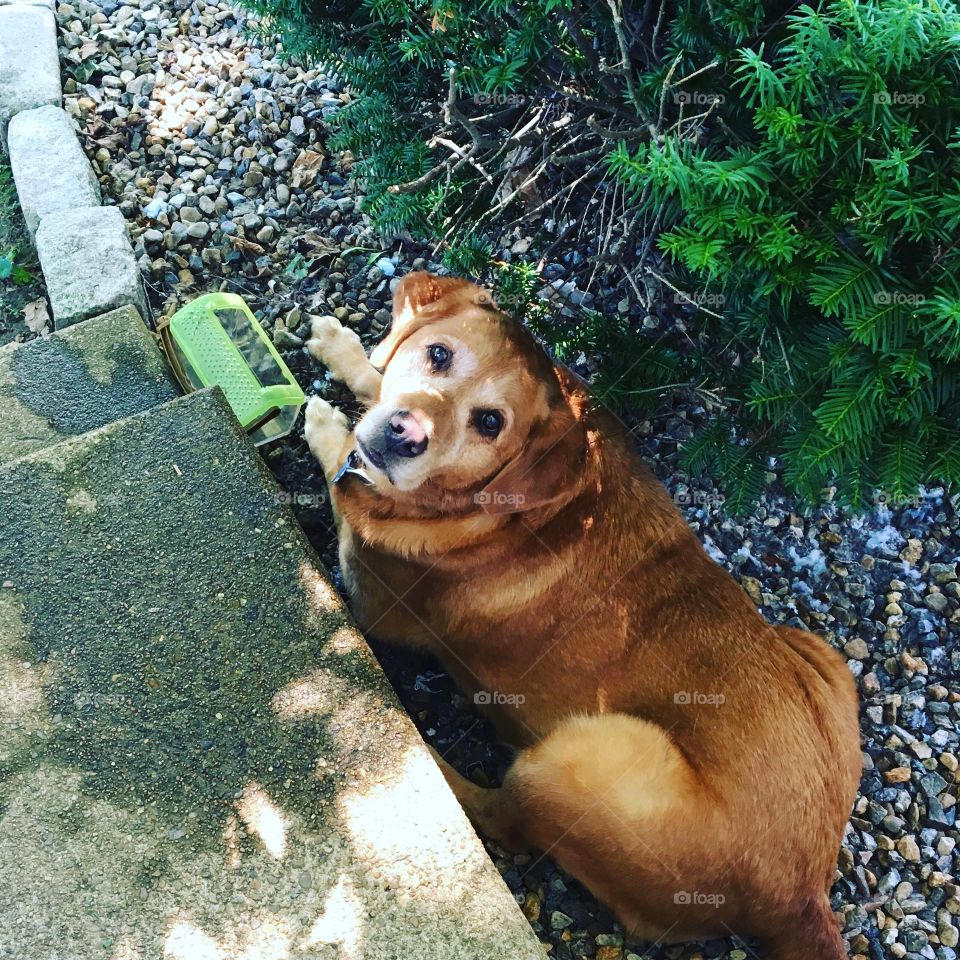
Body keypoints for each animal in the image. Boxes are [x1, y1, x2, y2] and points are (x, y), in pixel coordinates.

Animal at [304, 270, 860, 960]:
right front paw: (346, 351)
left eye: (491, 422)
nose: (406, 433)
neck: (491, 504)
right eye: (437, 354)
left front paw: (325, 422)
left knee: (500, 819)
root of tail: (803, 897)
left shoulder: (372, 594)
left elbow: (340, 474)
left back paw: (426, 765)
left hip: (585, 754)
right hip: (817, 653)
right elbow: (374, 385)